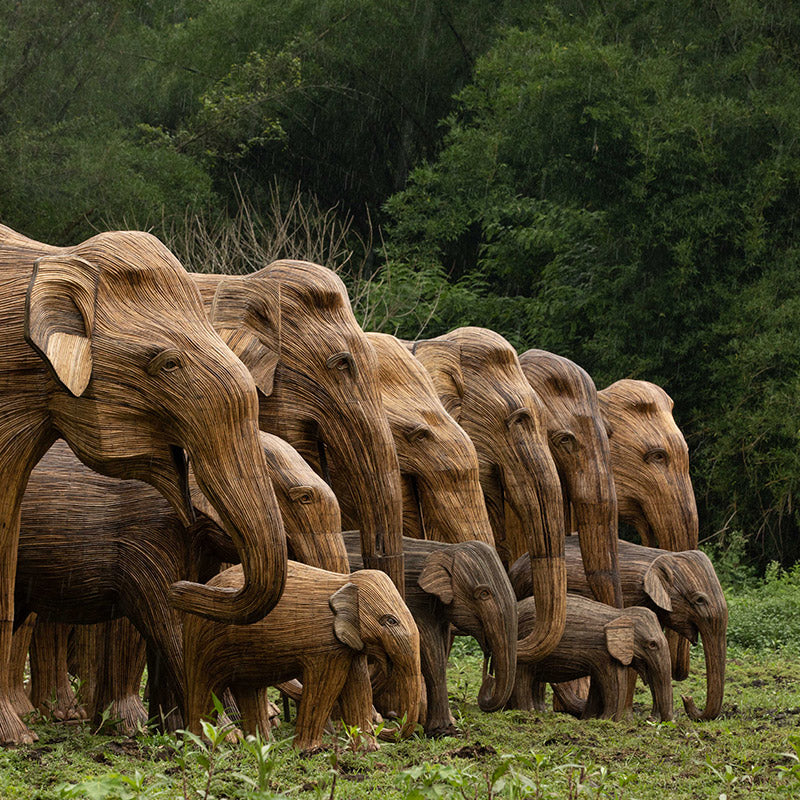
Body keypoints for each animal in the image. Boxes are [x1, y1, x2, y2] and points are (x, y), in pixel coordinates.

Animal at [0, 226, 287, 744]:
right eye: (167, 362)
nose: (186, 588)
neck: (55, 257)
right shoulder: (144, 547)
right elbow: (166, 620)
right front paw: (225, 737)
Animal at [11, 431, 347, 731]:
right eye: (303, 497)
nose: (181, 589)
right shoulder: (147, 539)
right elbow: (170, 621)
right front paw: (226, 735)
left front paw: (171, 730)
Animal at [183, 561, 422, 752]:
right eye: (390, 620)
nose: (387, 721)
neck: (344, 581)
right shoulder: (324, 644)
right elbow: (327, 686)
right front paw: (310, 751)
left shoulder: (348, 646)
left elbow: (359, 687)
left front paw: (369, 749)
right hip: (203, 642)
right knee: (205, 685)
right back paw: (200, 746)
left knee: (250, 689)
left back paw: (262, 746)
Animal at [343, 531, 517, 736]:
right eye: (484, 594)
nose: (489, 680)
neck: (443, 549)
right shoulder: (416, 600)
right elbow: (430, 649)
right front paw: (442, 730)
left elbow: (441, 644)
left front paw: (449, 724)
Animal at [509, 595, 673, 722]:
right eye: (652, 644)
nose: (651, 719)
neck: (621, 614)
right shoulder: (606, 653)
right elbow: (615, 685)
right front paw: (606, 720)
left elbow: (598, 685)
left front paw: (589, 719)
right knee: (522, 679)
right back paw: (527, 712)